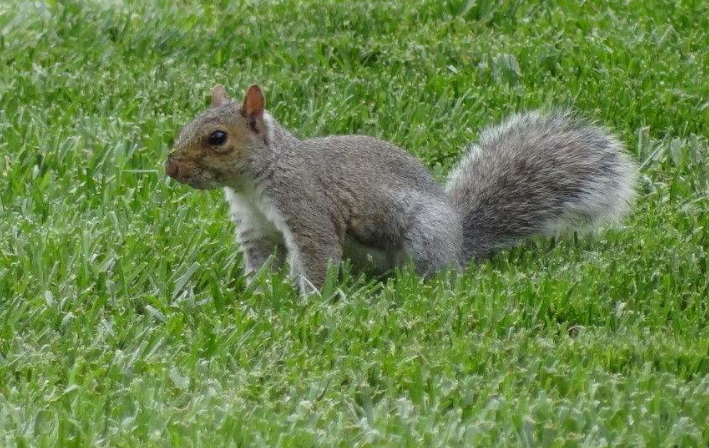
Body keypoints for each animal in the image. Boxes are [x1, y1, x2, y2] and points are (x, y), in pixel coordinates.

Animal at [165, 84, 636, 294]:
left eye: (218, 138)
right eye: (189, 124)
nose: (170, 167)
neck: (253, 182)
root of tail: (460, 245)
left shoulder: (305, 206)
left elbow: (315, 255)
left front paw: (306, 303)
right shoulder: (255, 227)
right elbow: (261, 261)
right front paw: (255, 295)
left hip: (425, 237)